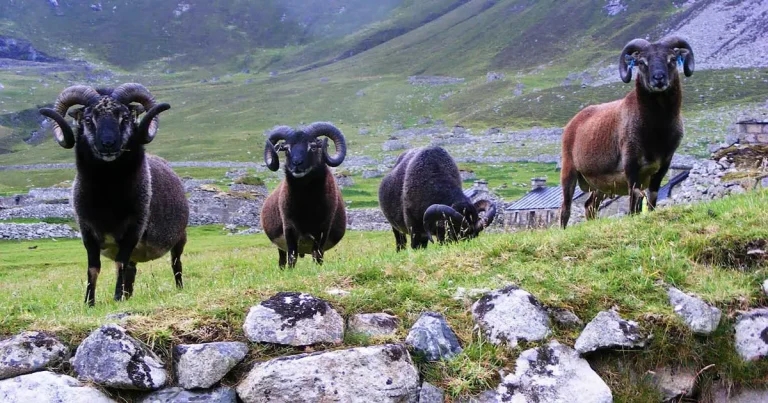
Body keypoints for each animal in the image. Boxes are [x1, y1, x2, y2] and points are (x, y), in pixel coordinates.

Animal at [38, 83, 188, 306]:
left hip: (179, 238)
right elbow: (93, 269)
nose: (108, 144)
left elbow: (119, 264)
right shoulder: (87, 232)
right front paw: (89, 302)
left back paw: (178, 289)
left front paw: (117, 298)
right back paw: (128, 295)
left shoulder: (133, 230)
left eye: (125, 117)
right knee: (132, 271)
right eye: (88, 119)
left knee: (176, 264)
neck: (107, 195)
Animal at [261, 122, 347, 268]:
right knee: (282, 261)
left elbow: (317, 256)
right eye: (286, 149)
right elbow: (292, 257)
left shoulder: (322, 230)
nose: (297, 164)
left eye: (312, 146)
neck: (306, 202)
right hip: (280, 246)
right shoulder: (289, 228)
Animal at [559, 36, 694, 228]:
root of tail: (573, 122)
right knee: (566, 209)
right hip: (569, 170)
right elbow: (633, 201)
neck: (656, 130)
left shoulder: (663, 165)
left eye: (672, 59)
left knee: (589, 206)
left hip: (601, 184)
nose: (658, 79)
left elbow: (651, 200)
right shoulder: (631, 164)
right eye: (642, 62)